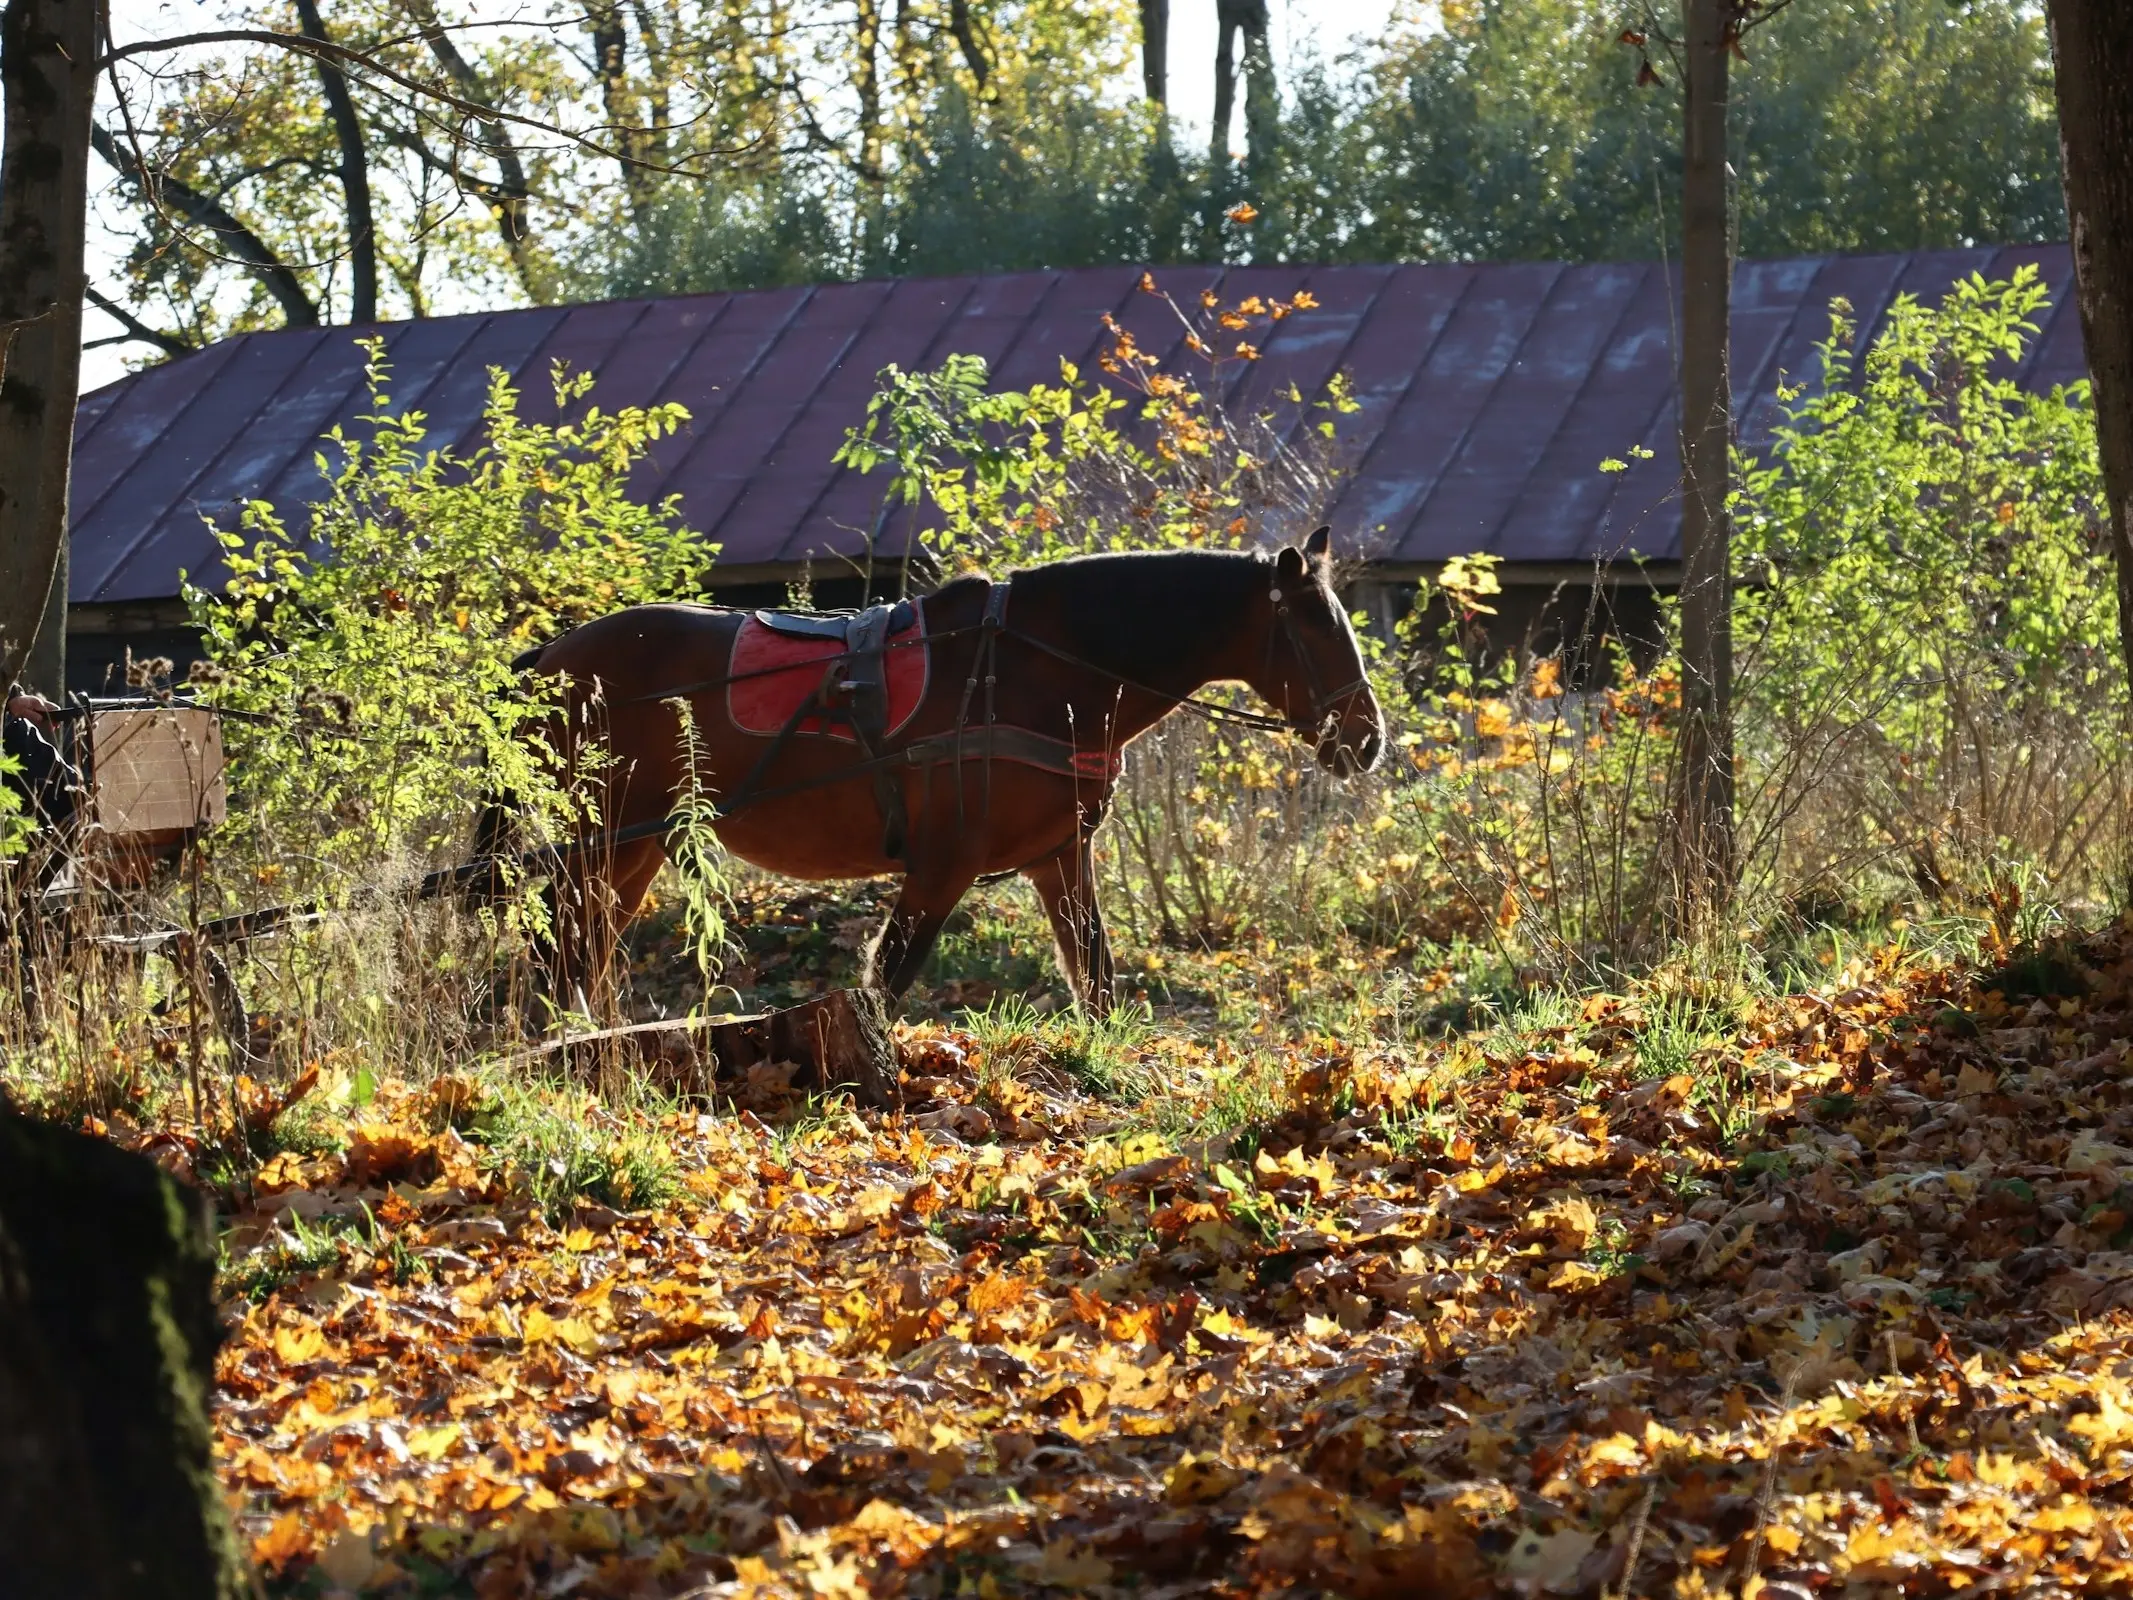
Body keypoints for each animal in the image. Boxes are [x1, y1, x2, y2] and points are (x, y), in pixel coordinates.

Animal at [507, 533, 1390, 1019]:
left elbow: (1095, 976)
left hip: (634, 842)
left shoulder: (1058, 858)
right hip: (604, 833)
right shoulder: (943, 864)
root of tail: (553, 657)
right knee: (563, 949)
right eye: (1315, 624)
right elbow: (887, 983)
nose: (1367, 738)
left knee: (580, 947)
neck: (1038, 668)